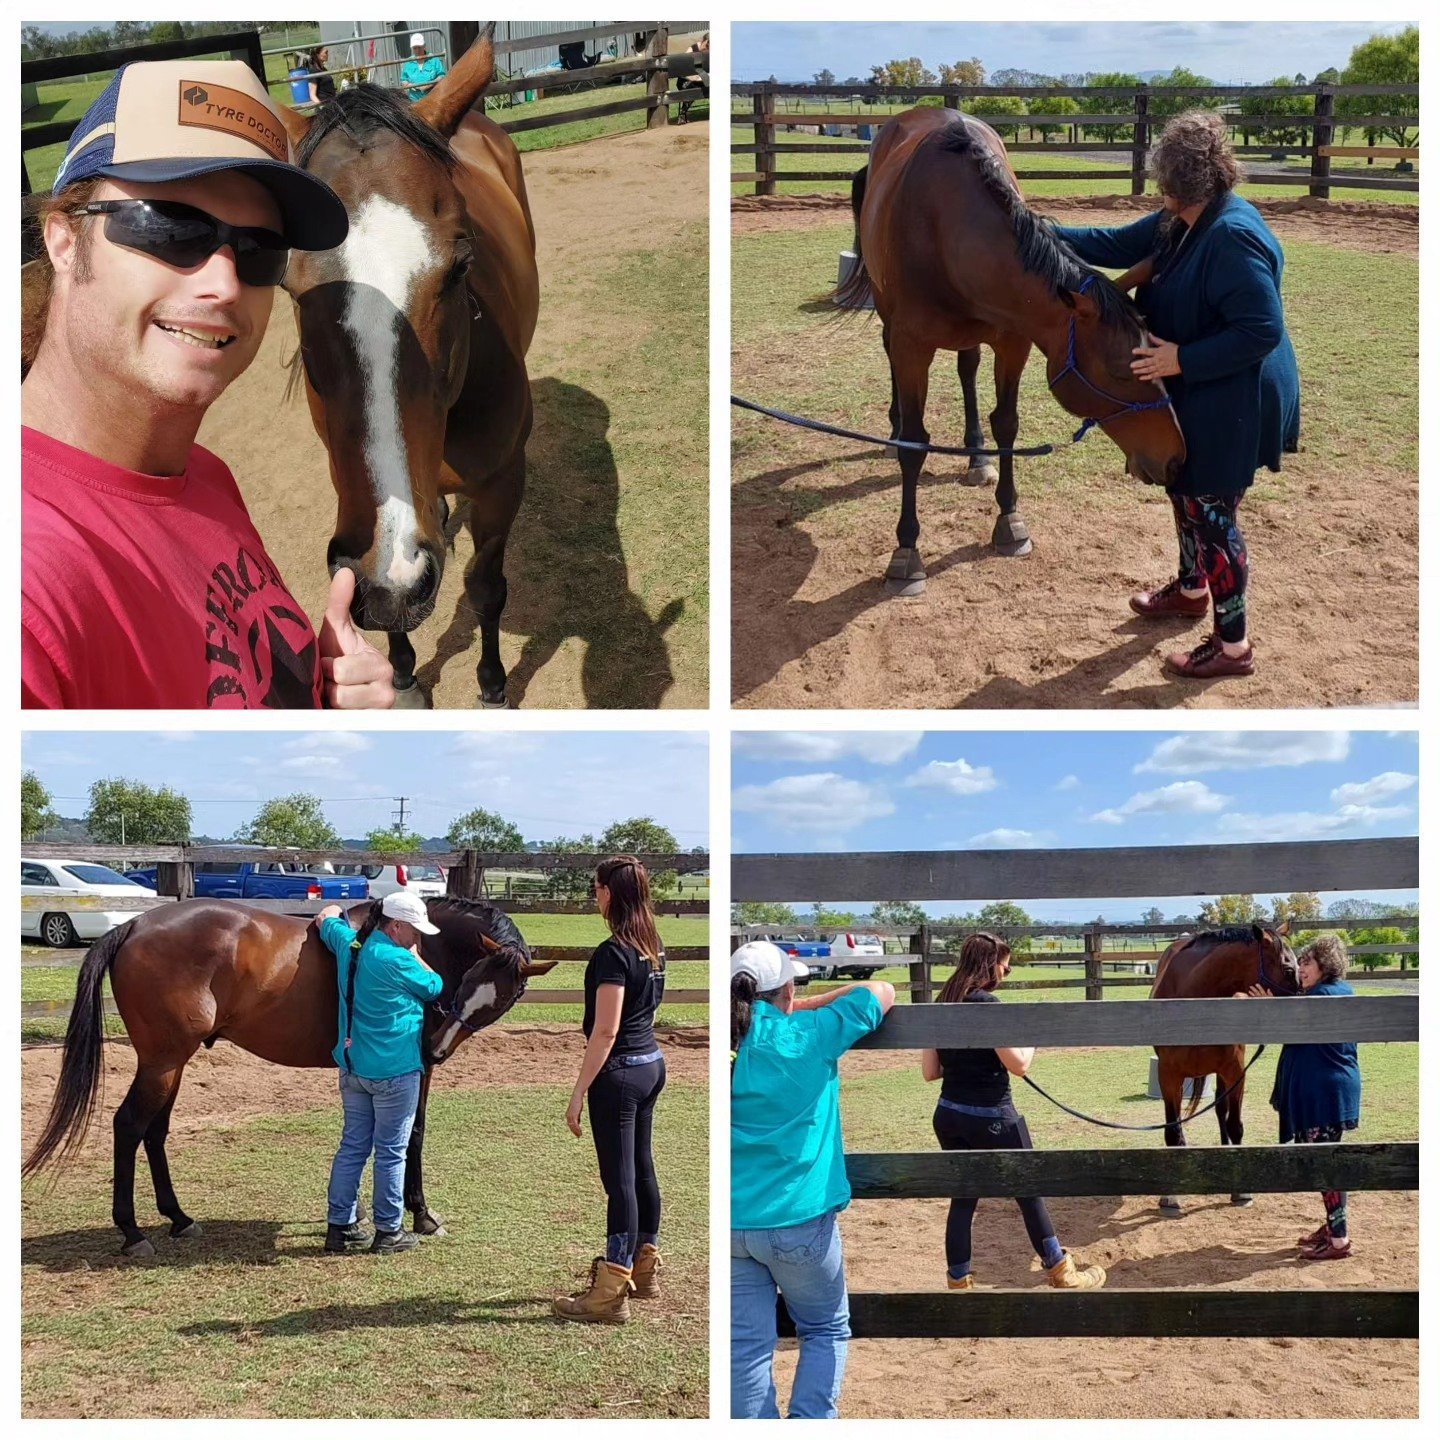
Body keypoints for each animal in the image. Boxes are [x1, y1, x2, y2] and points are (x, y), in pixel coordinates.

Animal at [22, 896, 557, 1257]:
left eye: (504, 997)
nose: (438, 1046)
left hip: (170, 1064)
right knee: (129, 1127)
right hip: (162, 1061)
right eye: (468, 982)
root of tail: (133, 926)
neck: (424, 942)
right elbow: (413, 1135)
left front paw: (356, 1217)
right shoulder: (415, 1072)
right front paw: (420, 1215)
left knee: (154, 1132)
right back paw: (132, 1233)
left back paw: (178, 1218)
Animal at [279, 25, 539, 708]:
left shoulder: (503, 482)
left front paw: (493, 685)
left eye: (461, 265)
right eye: (291, 285)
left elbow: (486, 588)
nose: (394, 578)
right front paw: (401, 675)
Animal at [833, 106, 1186, 595]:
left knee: (967, 368)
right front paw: (906, 552)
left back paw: (977, 457)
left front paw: (1010, 521)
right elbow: (915, 444)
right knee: (892, 365)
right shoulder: (911, 347)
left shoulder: (1013, 341)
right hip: (891, 323)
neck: (946, 229)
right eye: (1120, 371)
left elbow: (1006, 424)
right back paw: (894, 429)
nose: (1177, 457)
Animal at [1149, 920, 1299, 1213]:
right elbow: (1173, 1131)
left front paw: (1240, 1189)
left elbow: (1235, 1125)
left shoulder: (1234, 1073)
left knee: (1221, 1111)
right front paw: (1171, 1196)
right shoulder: (1168, 1077)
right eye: (1288, 969)